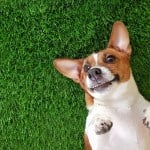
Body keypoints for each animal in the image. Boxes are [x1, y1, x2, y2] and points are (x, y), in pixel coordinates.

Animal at [53, 21, 149, 150]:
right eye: (86, 67)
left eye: (110, 58)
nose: (93, 72)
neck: (119, 103)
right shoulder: (98, 143)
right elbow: (93, 120)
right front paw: (98, 122)